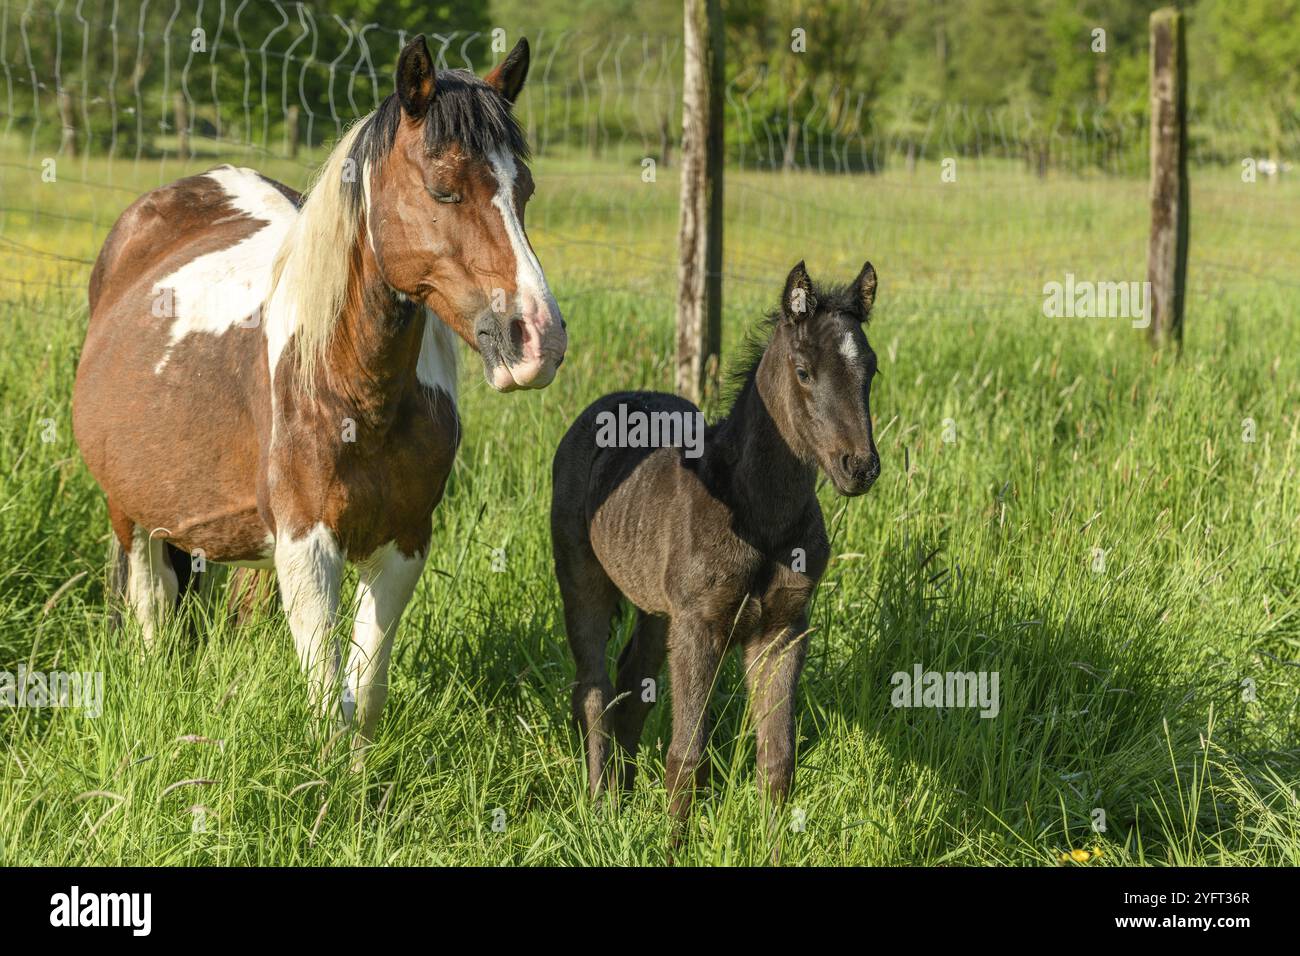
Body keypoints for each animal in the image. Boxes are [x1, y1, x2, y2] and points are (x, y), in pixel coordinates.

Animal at [72, 35, 564, 749]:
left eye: (522, 190)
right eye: (443, 190)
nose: (539, 339)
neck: (355, 393)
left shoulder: (403, 544)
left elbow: (367, 690)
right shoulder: (308, 548)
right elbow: (329, 701)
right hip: (131, 513)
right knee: (152, 609)